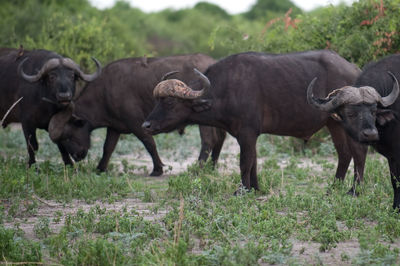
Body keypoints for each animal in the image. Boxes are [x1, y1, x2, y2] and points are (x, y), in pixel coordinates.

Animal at [142, 50, 368, 191]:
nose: (146, 125)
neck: (226, 89)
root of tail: (355, 69)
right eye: (157, 100)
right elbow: (254, 162)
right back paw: (334, 186)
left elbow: (244, 162)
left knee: (359, 152)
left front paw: (242, 189)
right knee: (344, 154)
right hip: (334, 124)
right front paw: (255, 188)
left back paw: (354, 189)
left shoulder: (247, 133)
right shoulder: (249, 136)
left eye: (170, 102)